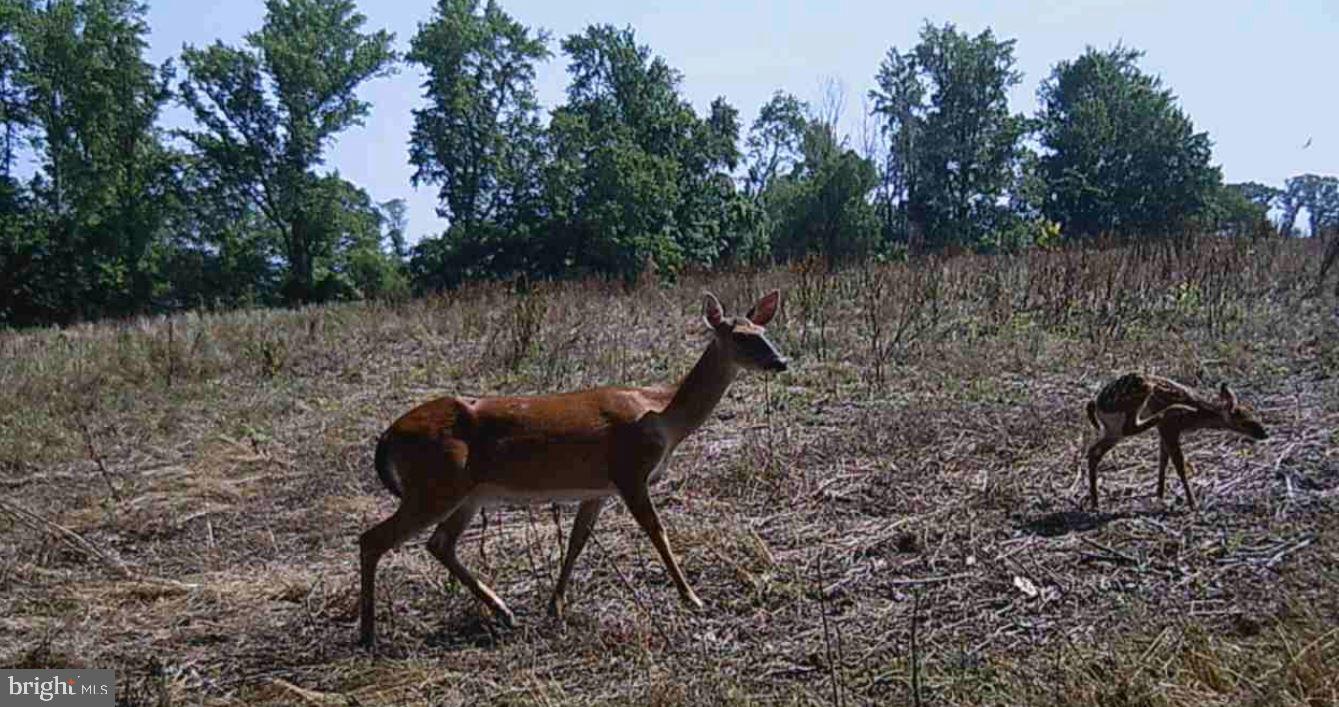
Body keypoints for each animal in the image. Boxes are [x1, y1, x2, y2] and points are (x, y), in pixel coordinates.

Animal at [361, 289, 787, 645]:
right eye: (741, 337)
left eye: (764, 330)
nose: (781, 361)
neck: (661, 414)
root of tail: (388, 435)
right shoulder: (629, 471)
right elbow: (657, 531)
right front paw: (692, 597)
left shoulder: (598, 488)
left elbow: (577, 541)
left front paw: (556, 606)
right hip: (435, 485)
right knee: (373, 538)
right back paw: (368, 635)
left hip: (467, 493)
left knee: (439, 543)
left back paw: (504, 612)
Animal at [1081, 372, 1269, 511]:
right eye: (1244, 422)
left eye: (1254, 414)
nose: (1264, 434)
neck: (1195, 416)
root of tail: (1096, 403)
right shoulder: (1170, 428)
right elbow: (1179, 465)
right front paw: (1193, 504)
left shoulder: (1165, 432)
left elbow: (1163, 461)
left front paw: (1160, 495)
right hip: (1134, 398)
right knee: (1129, 428)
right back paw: (1174, 408)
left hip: (1112, 430)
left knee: (1094, 451)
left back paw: (1095, 503)